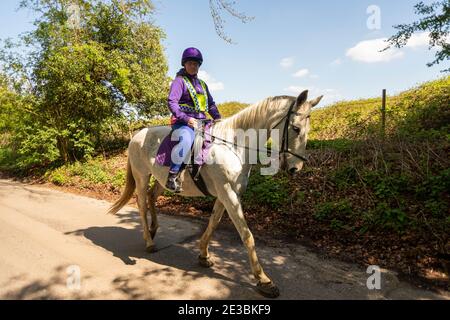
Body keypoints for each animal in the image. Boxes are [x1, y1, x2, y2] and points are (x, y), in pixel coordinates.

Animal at [108, 90, 324, 298]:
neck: (233, 146)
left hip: (161, 179)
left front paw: (204, 255)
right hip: (142, 176)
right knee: (142, 204)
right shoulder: (228, 194)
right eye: (295, 128)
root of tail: (137, 135)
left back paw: (154, 230)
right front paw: (264, 280)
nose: (296, 168)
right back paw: (149, 241)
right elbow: (247, 235)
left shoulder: (226, 194)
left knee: (152, 197)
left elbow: (213, 222)